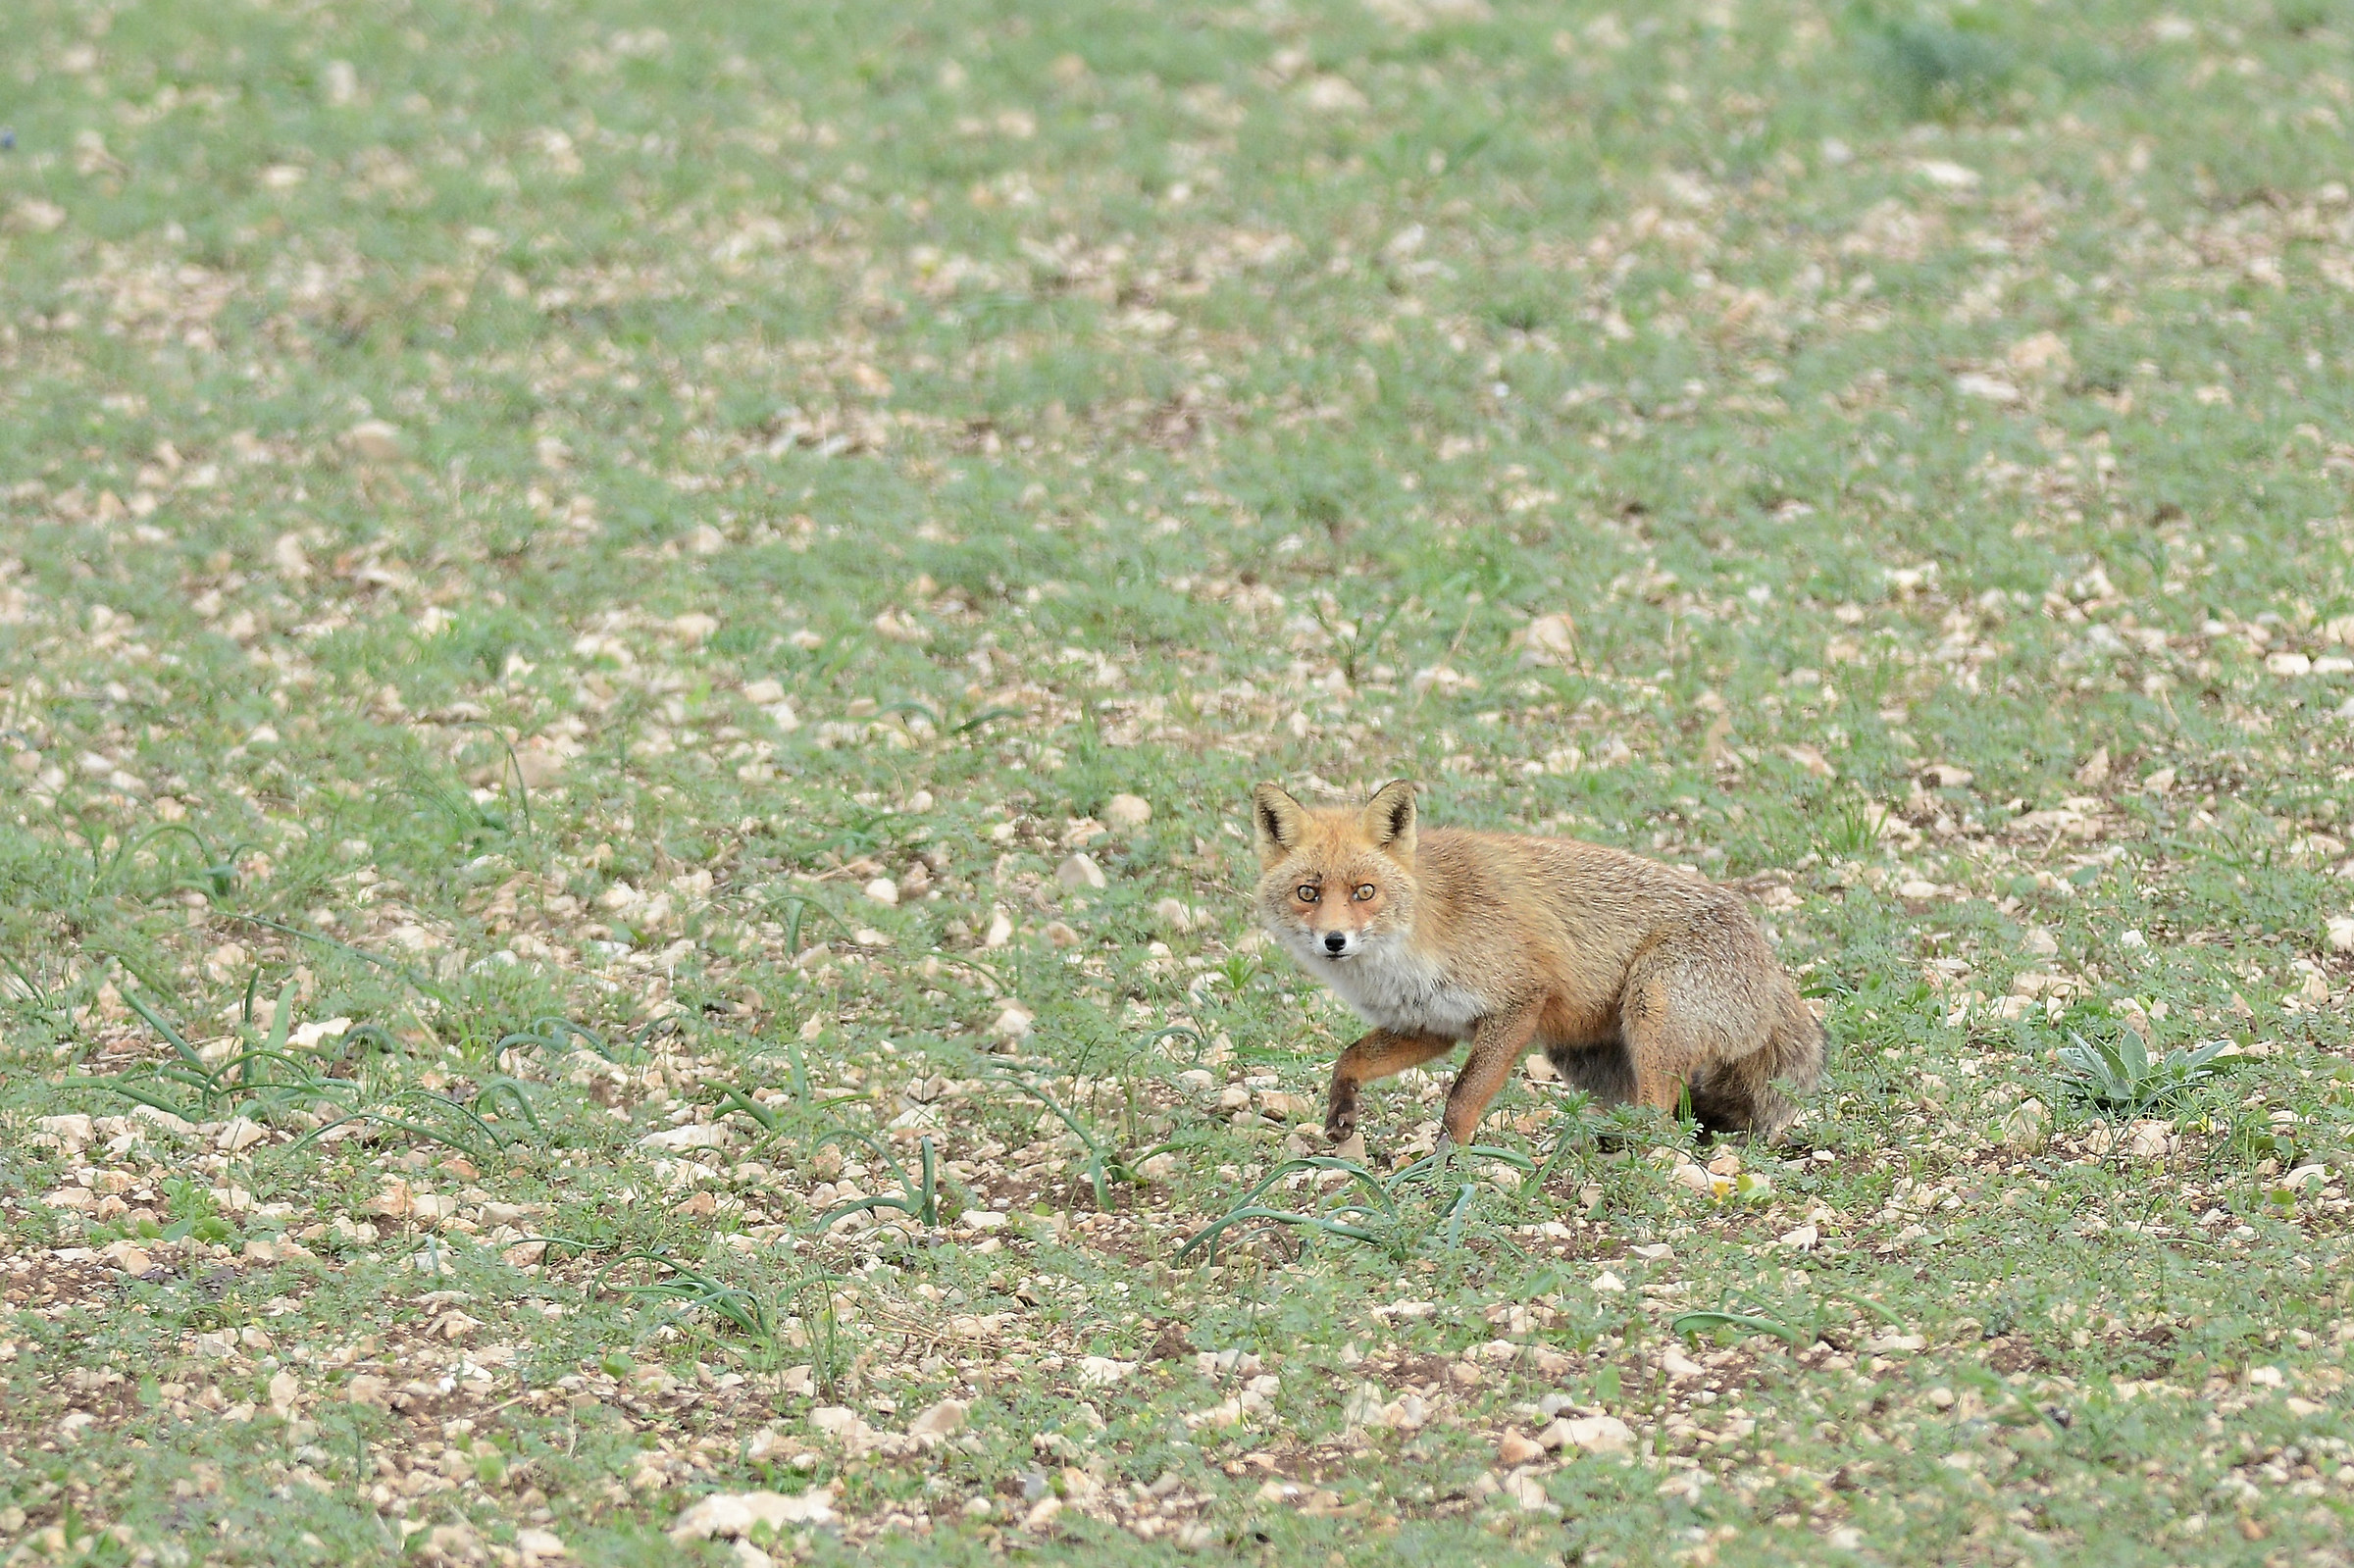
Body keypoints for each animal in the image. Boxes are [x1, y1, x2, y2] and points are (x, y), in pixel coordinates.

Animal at [1250, 779, 1824, 1155]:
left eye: (1364, 892)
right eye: (1308, 893)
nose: (1334, 941)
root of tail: (1774, 972)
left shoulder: (1517, 1001)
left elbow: (1461, 1099)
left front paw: (1446, 1164)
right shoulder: (1430, 1023)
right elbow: (1349, 1058)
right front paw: (1341, 1114)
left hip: (1651, 1009)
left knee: (1661, 1118)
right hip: (1587, 1059)